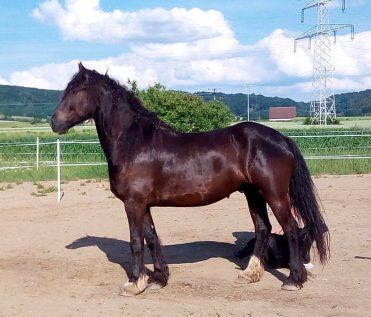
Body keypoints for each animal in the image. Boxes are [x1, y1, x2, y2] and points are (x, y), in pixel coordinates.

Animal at [50, 63, 330, 296]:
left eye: (78, 90)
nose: (54, 122)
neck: (133, 142)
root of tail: (282, 139)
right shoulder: (144, 205)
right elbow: (151, 238)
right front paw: (158, 279)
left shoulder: (133, 203)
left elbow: (136, 242)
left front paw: (134, 283)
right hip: (253, 194)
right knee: (263, 229)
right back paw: (250, 274)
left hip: (275, 194)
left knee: (291, 229)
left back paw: (293, 280)